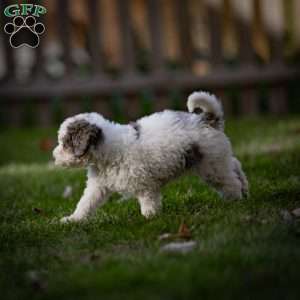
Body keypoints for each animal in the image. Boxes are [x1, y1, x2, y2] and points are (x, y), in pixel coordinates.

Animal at [53, 91, 248, 223]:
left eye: (65, 143)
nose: (54, 156)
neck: (108, 151)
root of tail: (207, 119)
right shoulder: (98, 186)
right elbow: (86, 203)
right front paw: (73, 219)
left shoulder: (145, 185)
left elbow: (148, 203)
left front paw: (150, 218)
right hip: (216, 159)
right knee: (235, 165)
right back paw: (245, 188)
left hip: (210, 165)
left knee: (230, 180)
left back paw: (235, 199)